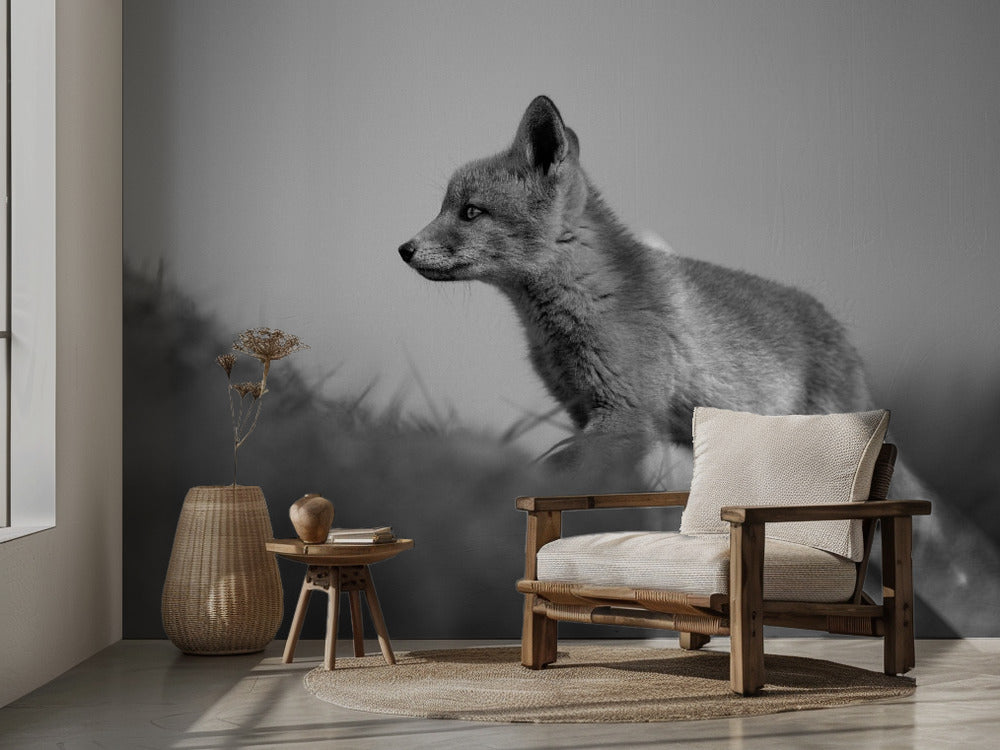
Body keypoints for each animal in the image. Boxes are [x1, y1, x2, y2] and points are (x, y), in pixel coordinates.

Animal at [398, 95, 877, 475]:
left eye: (470, 212)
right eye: (445, 207)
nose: (403, 249)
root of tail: (842, 332)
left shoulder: (627, 418)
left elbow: (548, 471)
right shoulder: (585, 412)